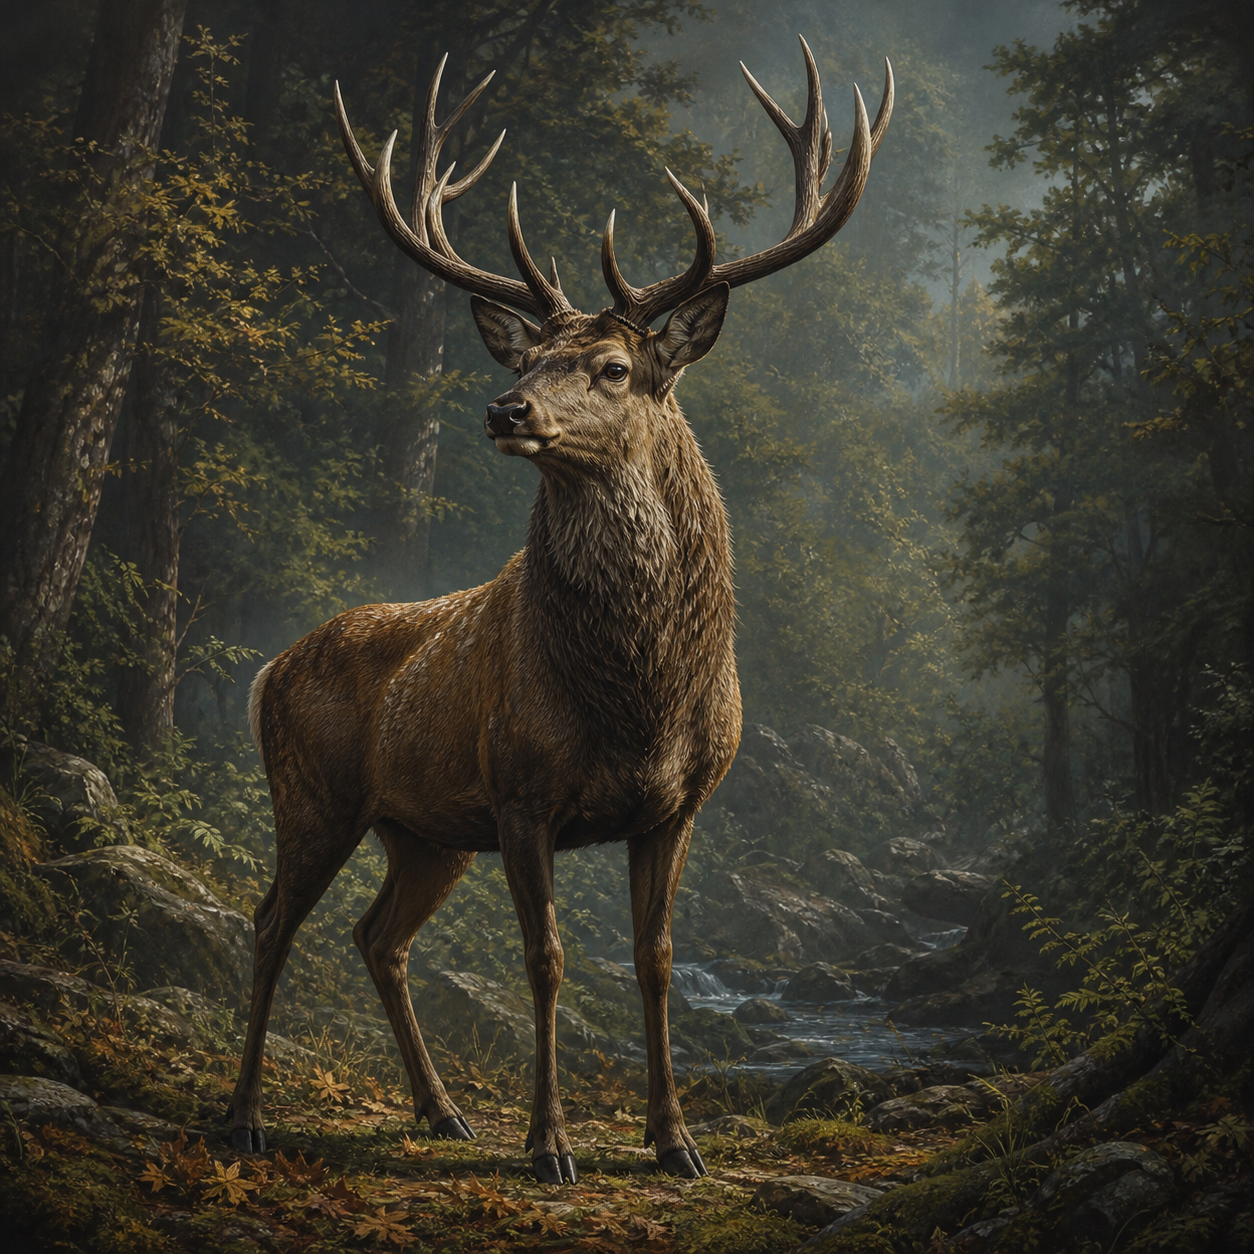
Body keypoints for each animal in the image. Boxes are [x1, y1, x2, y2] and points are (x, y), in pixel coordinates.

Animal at [228, 36, 892, 1183]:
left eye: (615, 367)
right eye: (529, 358)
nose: (505, 407)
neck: (637, 699)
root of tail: (273, 666)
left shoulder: (679, 801)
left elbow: (656, 959)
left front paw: (675, 1142)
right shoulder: (521, 791)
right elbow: (544, 959)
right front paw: (549, 1146)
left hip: (423, 831)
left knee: (376, 936)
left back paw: (441, 1112)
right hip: (313, 793)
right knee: (271, 923)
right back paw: (246, 1115)